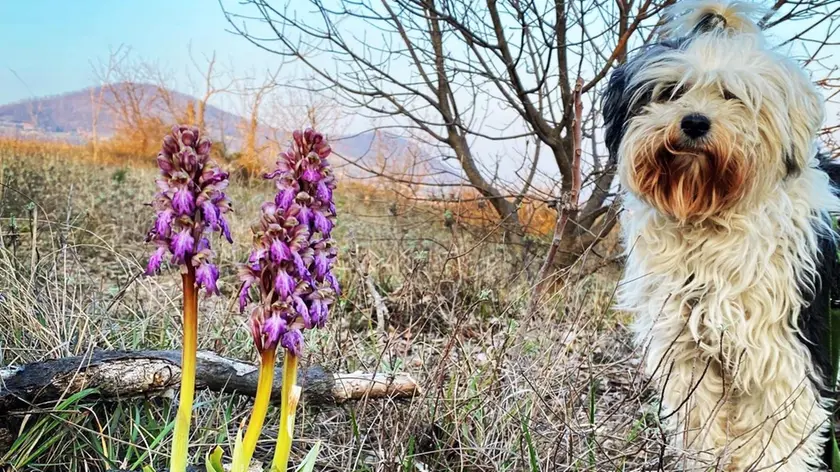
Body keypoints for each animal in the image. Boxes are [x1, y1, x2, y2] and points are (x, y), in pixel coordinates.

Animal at [604, 1, 840, 470]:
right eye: (670, 91)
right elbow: (701, 426)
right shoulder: (685, 352)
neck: (710, 222)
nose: (694, 123)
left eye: (733, 95)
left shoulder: (787, 351)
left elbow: (781, 437)